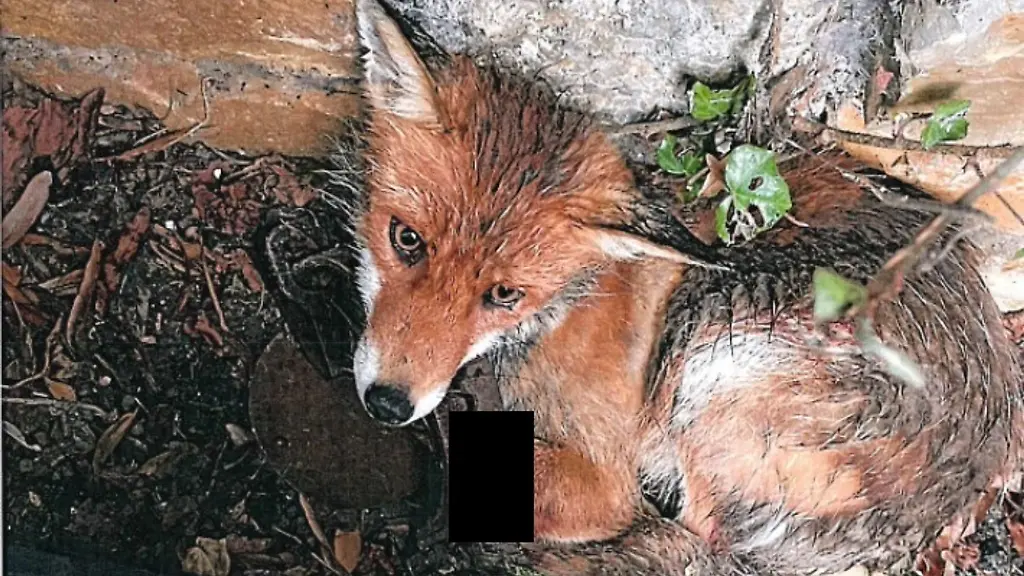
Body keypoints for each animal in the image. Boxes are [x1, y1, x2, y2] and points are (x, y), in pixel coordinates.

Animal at [340, 0, 1024, 573]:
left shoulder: (605, 473)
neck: (562, 311)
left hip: (712, 355)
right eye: (406, 240)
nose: (389, 404)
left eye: (504, 295)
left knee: (696, 536)